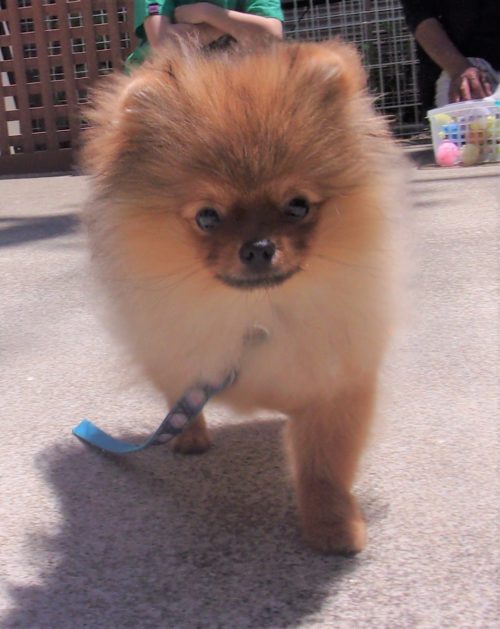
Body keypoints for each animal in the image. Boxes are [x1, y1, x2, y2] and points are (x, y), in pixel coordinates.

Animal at [82, 40, 404, 555]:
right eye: (208, 216)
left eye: (298, 206)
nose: (258, 247)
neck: (257, 312)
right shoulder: (178, 360)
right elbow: (179, 397)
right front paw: (188, 433)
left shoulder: (335, 385)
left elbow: (324, 468)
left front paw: (332, 527)